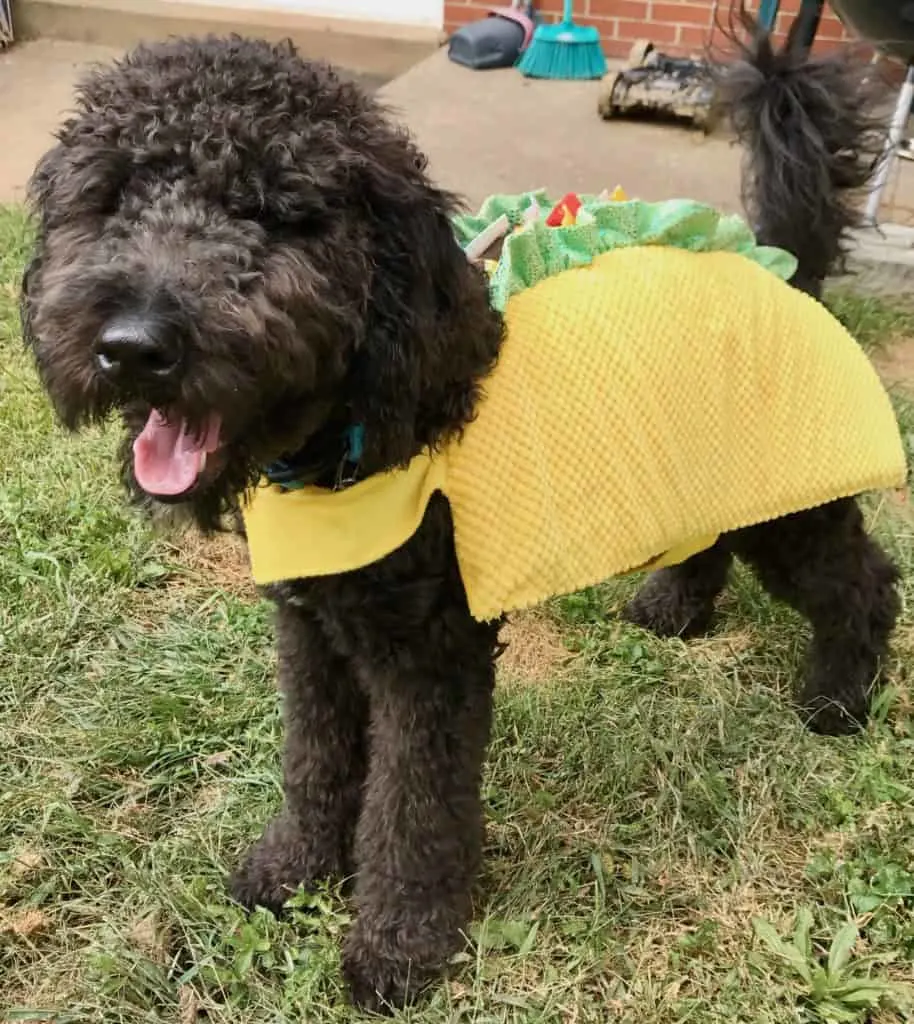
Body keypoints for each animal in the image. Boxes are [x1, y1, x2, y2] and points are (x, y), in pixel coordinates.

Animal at [19, 18, 900, 1015]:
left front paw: (397, 950)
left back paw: (839, 698)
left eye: (279, 211)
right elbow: (315, 759)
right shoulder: (311, 629)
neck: (352, 440)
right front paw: (293, 872)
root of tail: (784, 269)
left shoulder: (431, 654)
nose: (133, 347)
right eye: (111, 200)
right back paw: (677, 608)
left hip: (789, 506)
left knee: (865, 581)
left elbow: (412, 809)